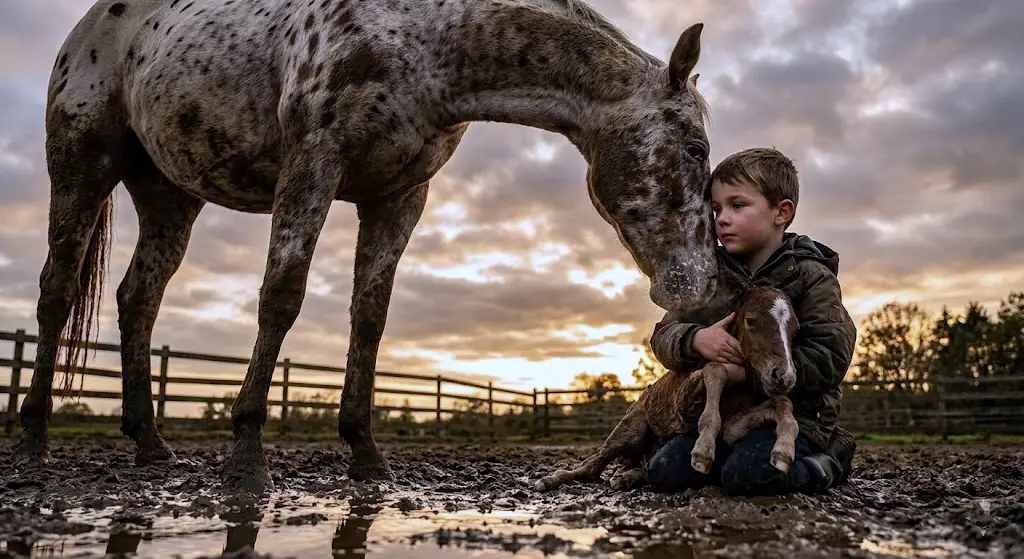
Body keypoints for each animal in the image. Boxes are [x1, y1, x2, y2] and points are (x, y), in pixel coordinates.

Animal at [17, 0, 718, 493]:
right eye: (695, 147)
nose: (702, 284)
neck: (424, 37)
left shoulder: (399, 196)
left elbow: (370, 317)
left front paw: (365, 452)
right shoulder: (314, 161)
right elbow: (282, 296)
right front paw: (246, 457)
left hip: (169, 196)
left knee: (137, 299)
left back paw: (149, 443)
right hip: (81, 166)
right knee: (56, 292)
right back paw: (33, 441)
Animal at [534, 270, 799, 493]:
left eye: (795, 328)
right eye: (751, 321)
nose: (784, 376)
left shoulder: (733, 427)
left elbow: (782, 404)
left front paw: (783, 452)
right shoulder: (686, 398)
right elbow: (716, 371)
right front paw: (702, 452)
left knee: (639, 466)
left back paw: (623, 477)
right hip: (630, 429)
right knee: (593, 466)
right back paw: (550, 480)